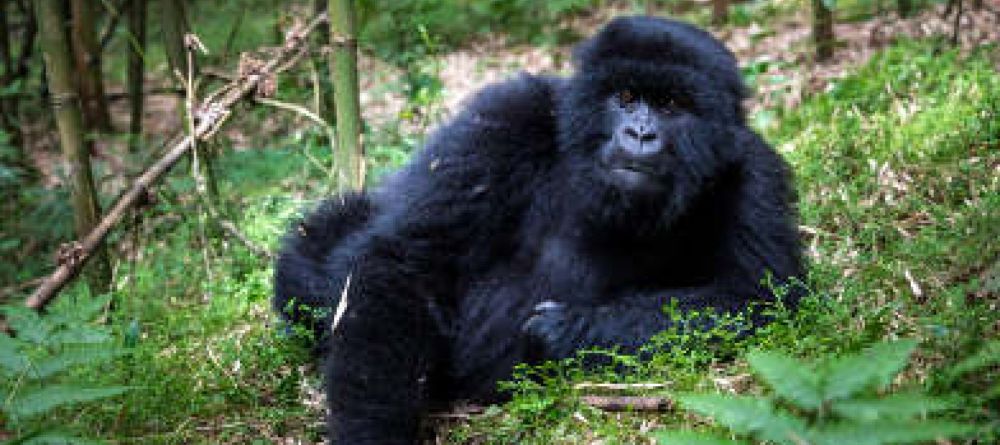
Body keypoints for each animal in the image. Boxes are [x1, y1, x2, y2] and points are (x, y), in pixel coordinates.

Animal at [276, 15, 804, 442]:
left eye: (672, 104)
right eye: (625, 97)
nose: (640, 134)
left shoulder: (753, 172)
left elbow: (758, 298)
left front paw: (566, 330)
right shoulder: (506, 117)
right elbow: (406, 264)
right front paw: (371, 433)